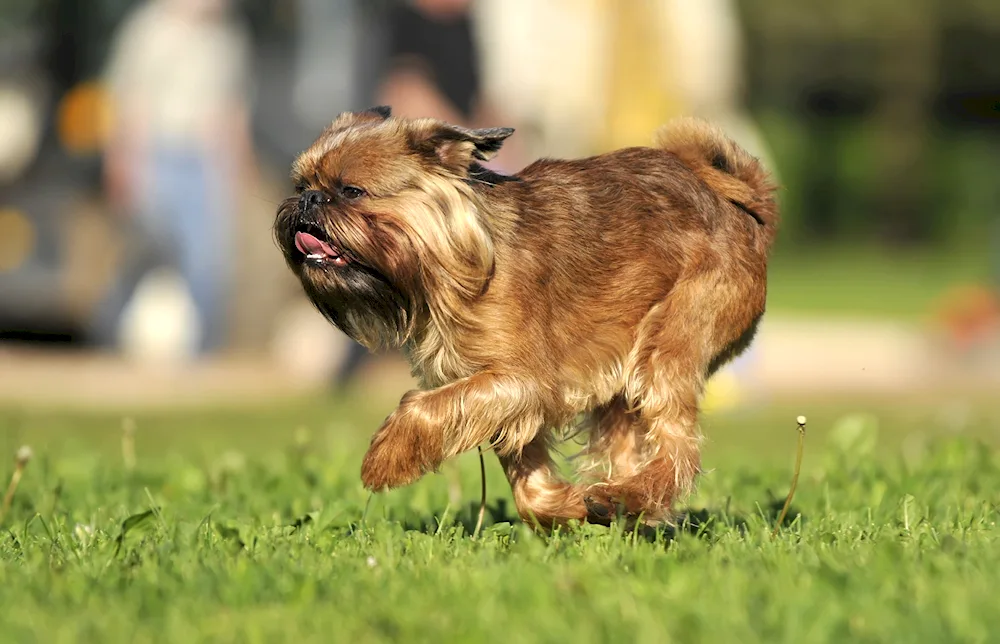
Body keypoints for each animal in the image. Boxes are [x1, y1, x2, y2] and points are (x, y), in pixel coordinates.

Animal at [274, 107, 780, 528]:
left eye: (351, 191)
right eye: (300, 186)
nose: (309, 200)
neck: (453, 265)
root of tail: (744, 205)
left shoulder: (522, 381)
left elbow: (422, 406)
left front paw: (386, 457)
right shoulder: (503, 398)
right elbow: (527, 485)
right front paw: (565, 506)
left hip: (668, 342)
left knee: (678, 447)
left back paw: (626, 498)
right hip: (620, 381)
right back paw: (627, 507)